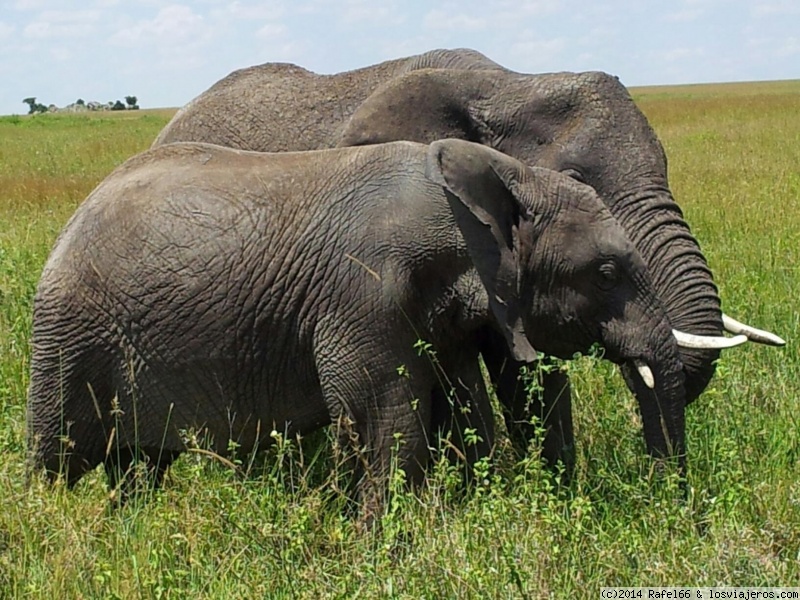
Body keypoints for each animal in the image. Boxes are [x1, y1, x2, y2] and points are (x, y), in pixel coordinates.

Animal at [28, 138, 720, 516]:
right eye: (605, 272)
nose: (675, 509)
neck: (494, 178)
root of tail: (76, 213)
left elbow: (462, 410)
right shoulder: (365, 289)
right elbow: (384, 416)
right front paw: (378, 552)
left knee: (139, 466)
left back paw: (124, 527)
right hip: (67, 333)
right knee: (56, 456)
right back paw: (47, 527)